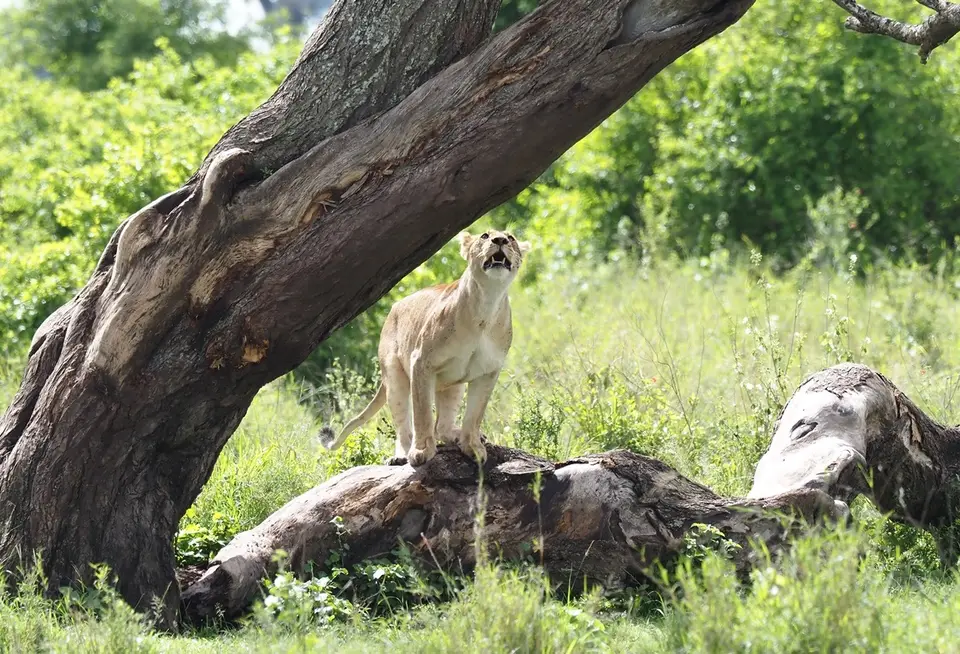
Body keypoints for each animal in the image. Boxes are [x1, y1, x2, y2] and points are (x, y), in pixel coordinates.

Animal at [319, 229, 530, 467]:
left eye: (511, 238)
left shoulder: (488, 372)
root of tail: (393, 309)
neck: (487, 303)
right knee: (404, 425)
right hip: (394, 376)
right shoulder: (421, 362)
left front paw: (473, 447)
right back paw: (401, 455)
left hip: (453, 385)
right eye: (485, 236)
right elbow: (422, 414)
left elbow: (475, 414)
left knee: (442, 427)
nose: (500, 240)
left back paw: (463, 436)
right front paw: (421, 452)